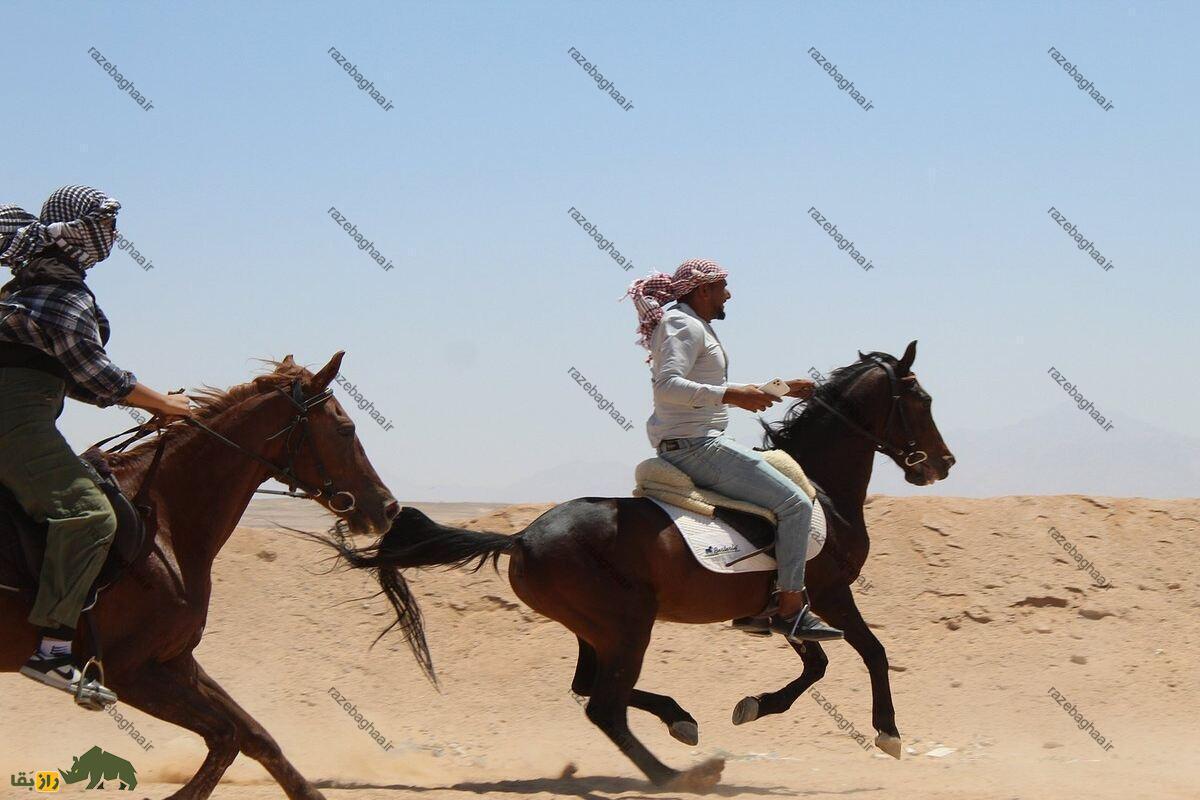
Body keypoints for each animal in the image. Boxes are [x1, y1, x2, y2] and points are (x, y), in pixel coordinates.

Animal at [1, 352, 417, 800]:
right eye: (345, 429)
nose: (388, 508)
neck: (164, 520)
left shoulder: (174, 659)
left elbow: (254, 735)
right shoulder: (129, 671)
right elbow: (227, 736)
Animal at [331, 340, 955, 791]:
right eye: (921, 400)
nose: (943, 464)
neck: (820, 487)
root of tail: (522, 537)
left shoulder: (790, 609)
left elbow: (818, 665)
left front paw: (754, 706)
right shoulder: (828, 595)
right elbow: (871, 652)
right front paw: (889, 733)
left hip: (594, 628)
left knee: (589, 687)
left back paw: (680, 721)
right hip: (627, 625)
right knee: (603, 706)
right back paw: (680, 775)